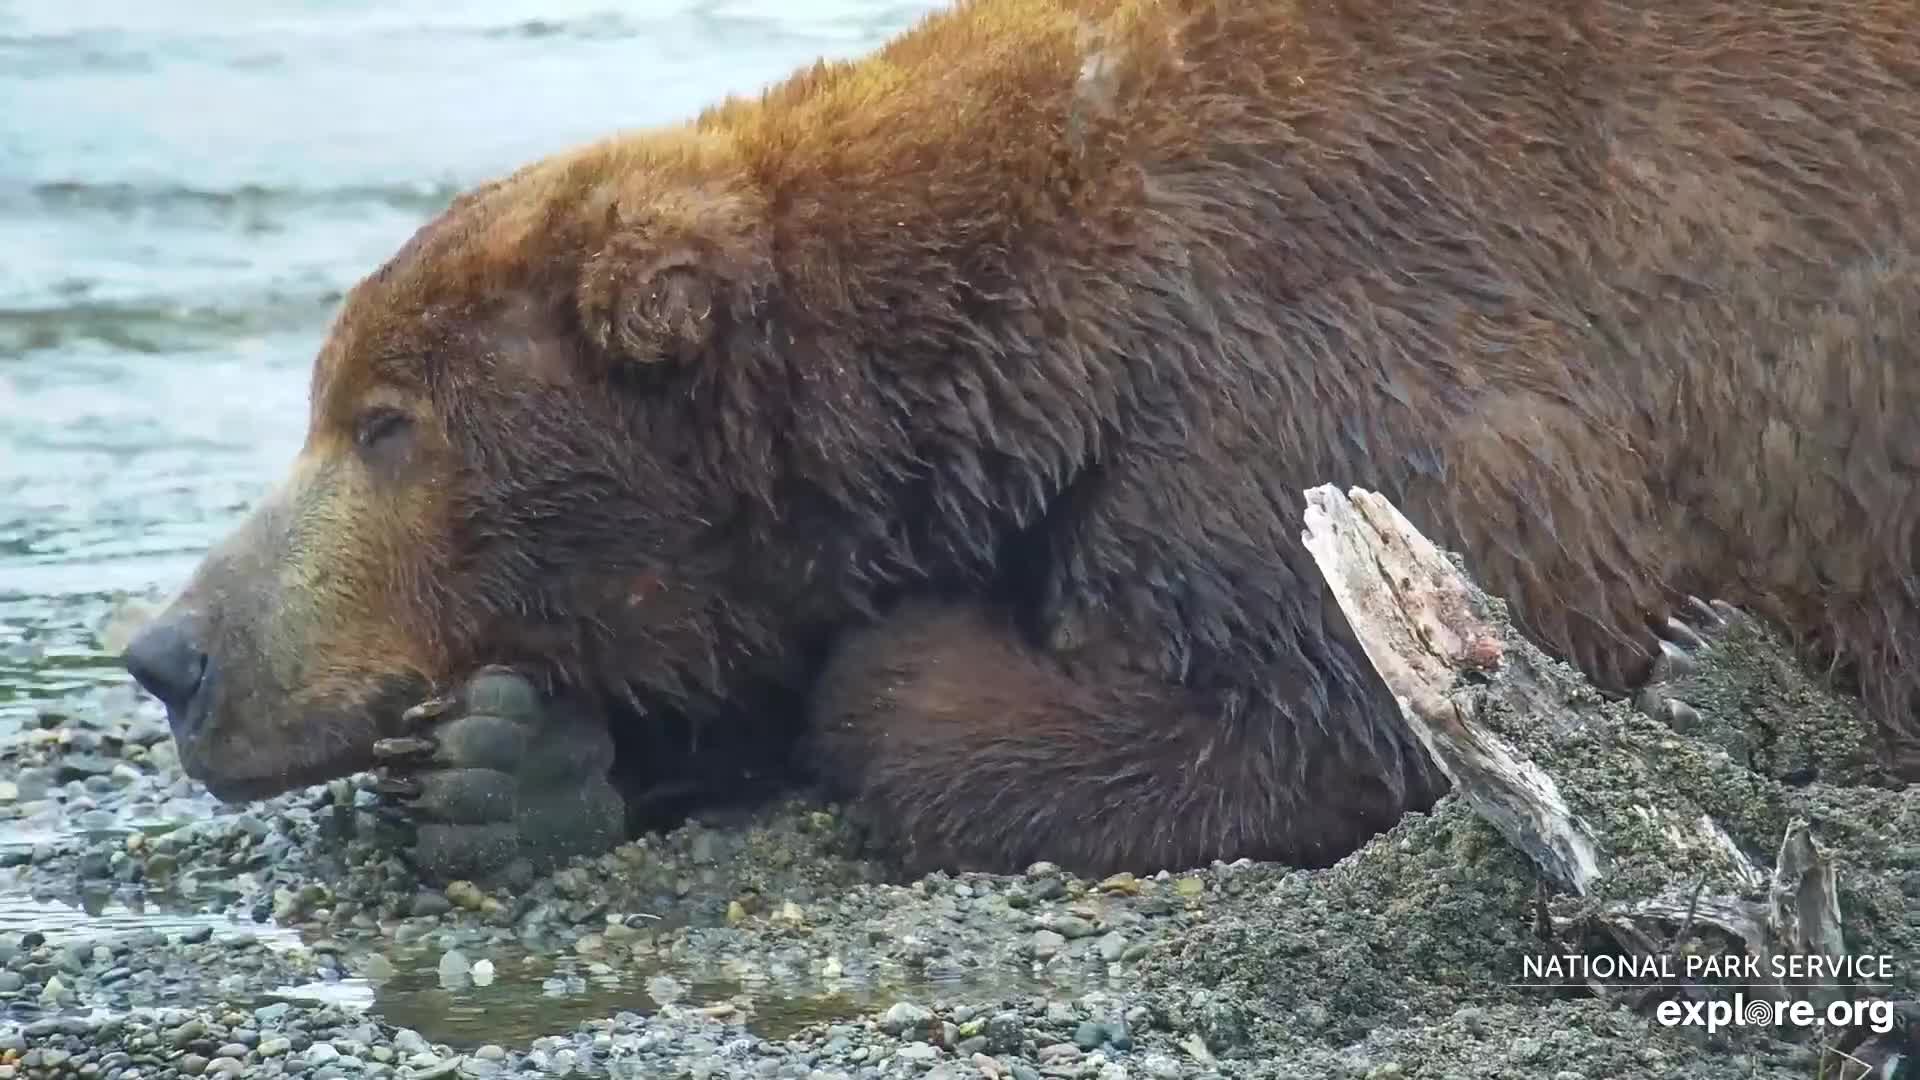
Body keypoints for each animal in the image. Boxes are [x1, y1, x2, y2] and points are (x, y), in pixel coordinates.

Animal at [123, 0, 1920, 883]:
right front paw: (515, 763)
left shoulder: (1331, 380)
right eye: (330, 402)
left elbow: (1311, 719)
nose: (171, 653)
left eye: (384, 424)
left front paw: (895, 669)